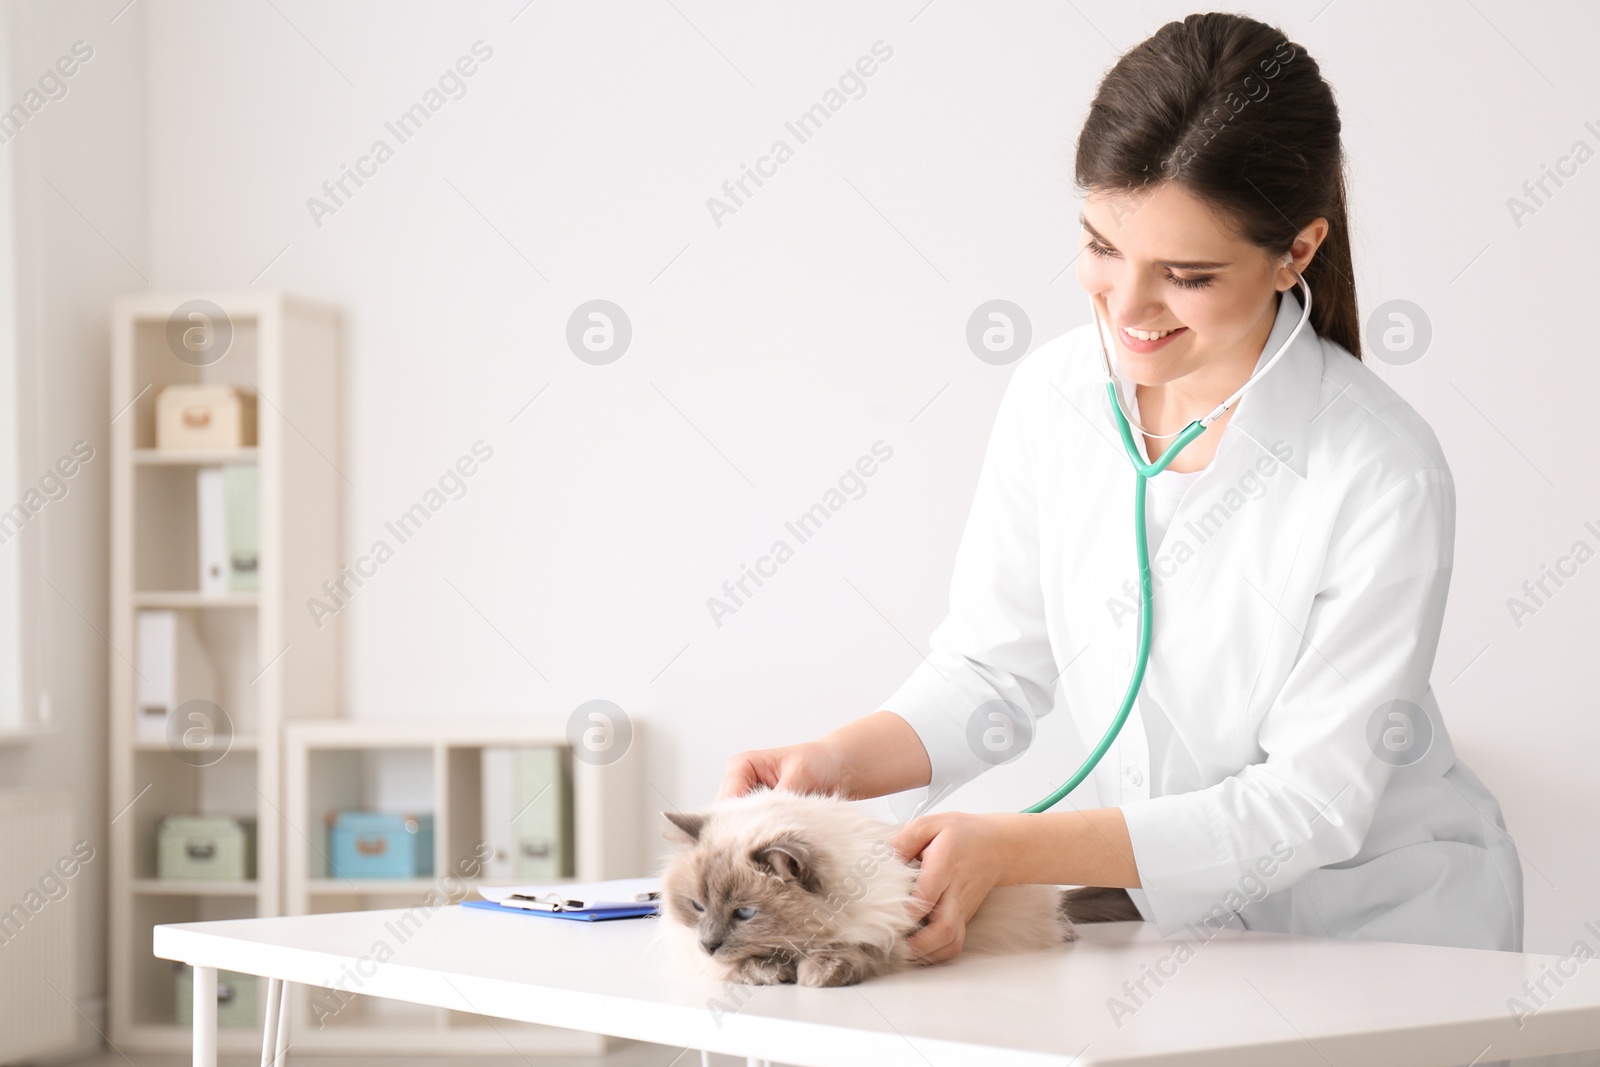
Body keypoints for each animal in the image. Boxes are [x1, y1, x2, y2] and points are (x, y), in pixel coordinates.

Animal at [649, 790, 1139, 991]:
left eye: (745, 914)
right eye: (696, 906)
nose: (708, 944)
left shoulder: (891, 932)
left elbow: (850, 951)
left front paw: (815, 975)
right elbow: (744, 967)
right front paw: (769, 971)